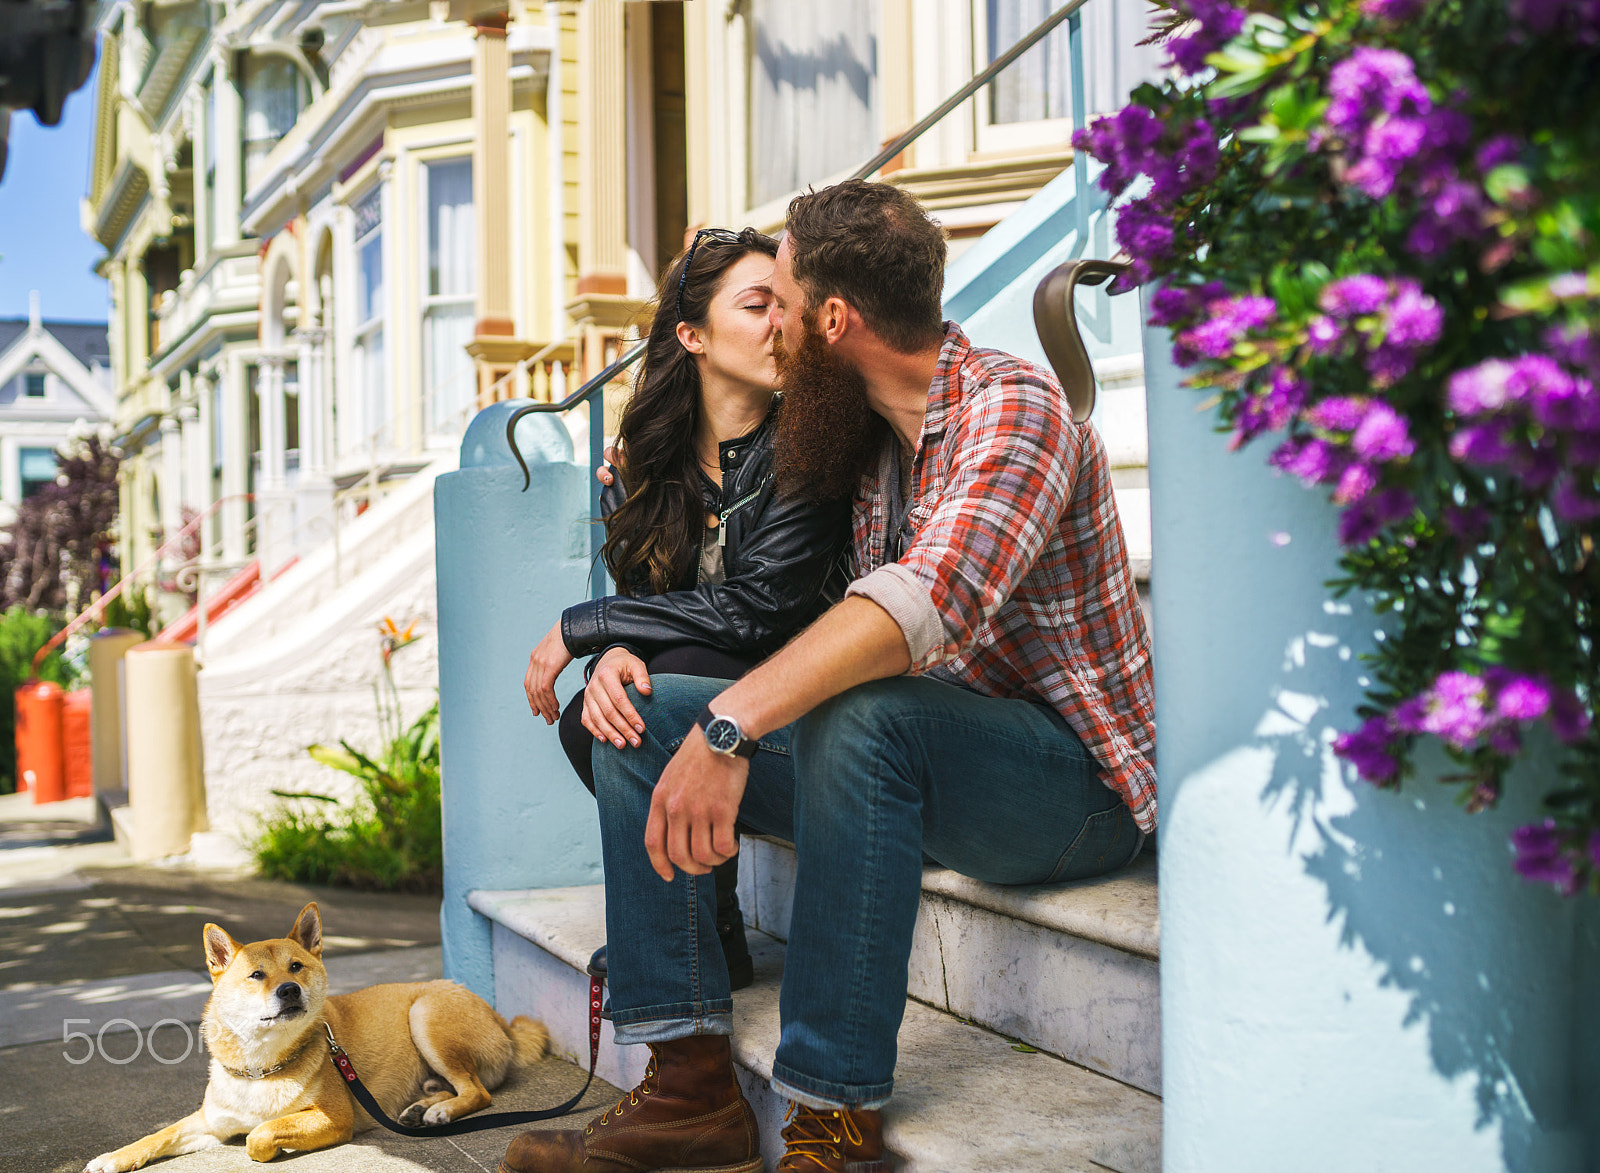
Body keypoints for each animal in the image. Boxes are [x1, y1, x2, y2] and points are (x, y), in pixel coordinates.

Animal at [86, 902, 550, 1164]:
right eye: (256, 975)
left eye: (296, 967)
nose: (289, 990)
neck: (261, 1067)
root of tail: (501, 1020)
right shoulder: (210, 1122)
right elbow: (156, 1136)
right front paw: (111, 1159)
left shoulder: (333, 1119)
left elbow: (259, 1134)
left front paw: (274, 1147)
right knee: (458, 1086)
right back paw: (423, 1106)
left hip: (424, 1014)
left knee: (478, 1091)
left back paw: (441, 1112)